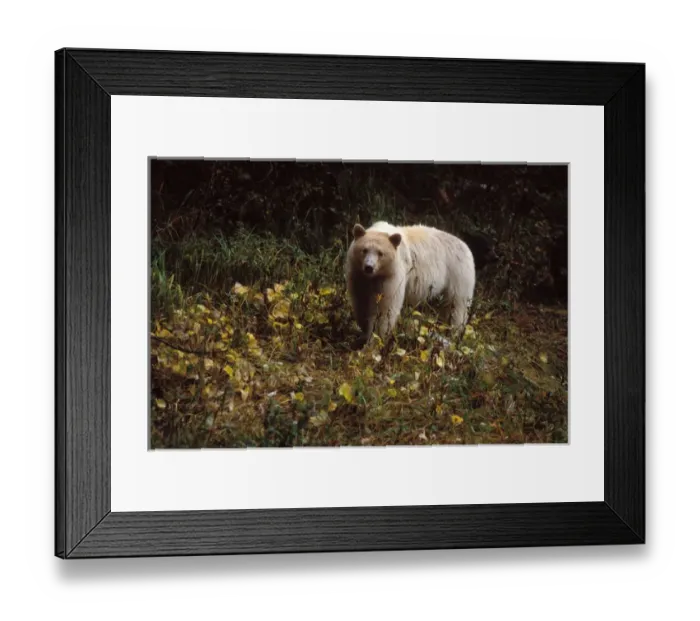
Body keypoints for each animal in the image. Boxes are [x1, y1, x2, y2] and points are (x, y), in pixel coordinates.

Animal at [345, 221, 476, 346]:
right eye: (364, 250)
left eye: (380, 253)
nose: (369, 267)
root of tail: (466, 247)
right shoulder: (359, 275)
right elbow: (361, 301)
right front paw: (363, 333)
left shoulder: (392, 276)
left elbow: (385, 309)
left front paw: (374, 340)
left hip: (458, 275)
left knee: (455, 307)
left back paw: (452, 333)